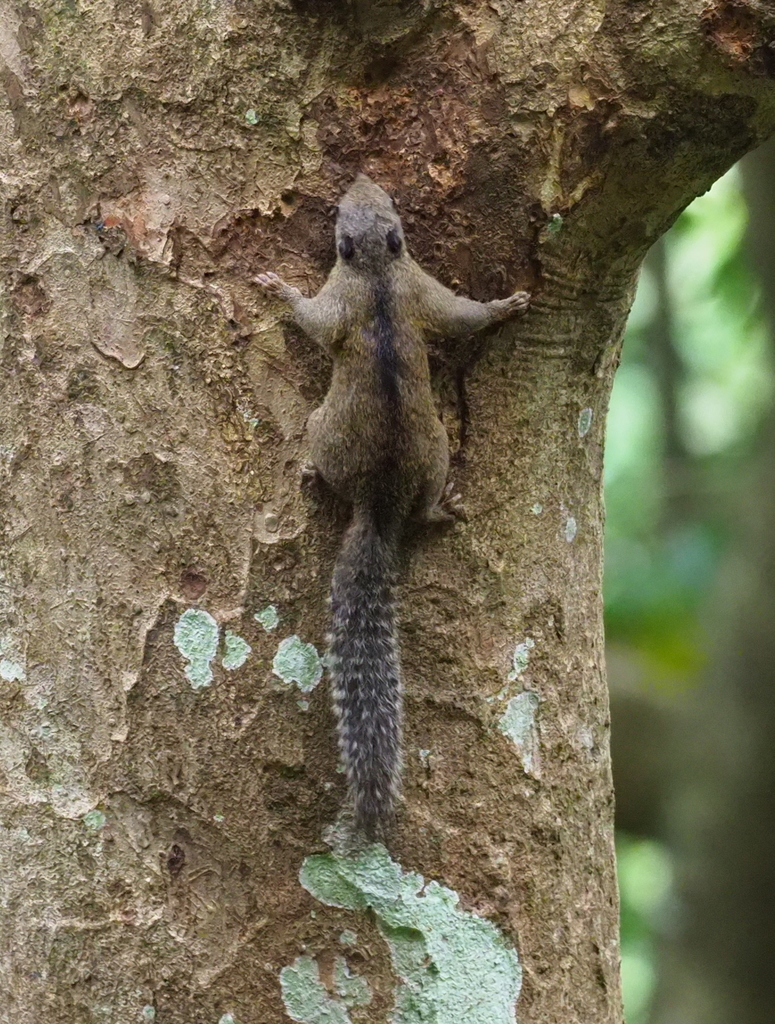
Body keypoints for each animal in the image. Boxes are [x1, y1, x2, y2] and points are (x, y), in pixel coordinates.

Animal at [256, 174, 530, 837]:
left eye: (343, 217)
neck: (379, 270)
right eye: (375, 204)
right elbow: (461, 317)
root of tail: (378, 507)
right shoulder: (418, 288)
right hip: (436, 452)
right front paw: (505, 307)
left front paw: (279, 290)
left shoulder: (360, 294)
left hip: (322, 427)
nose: (358, 176)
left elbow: (315, 320)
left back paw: (313, 472)